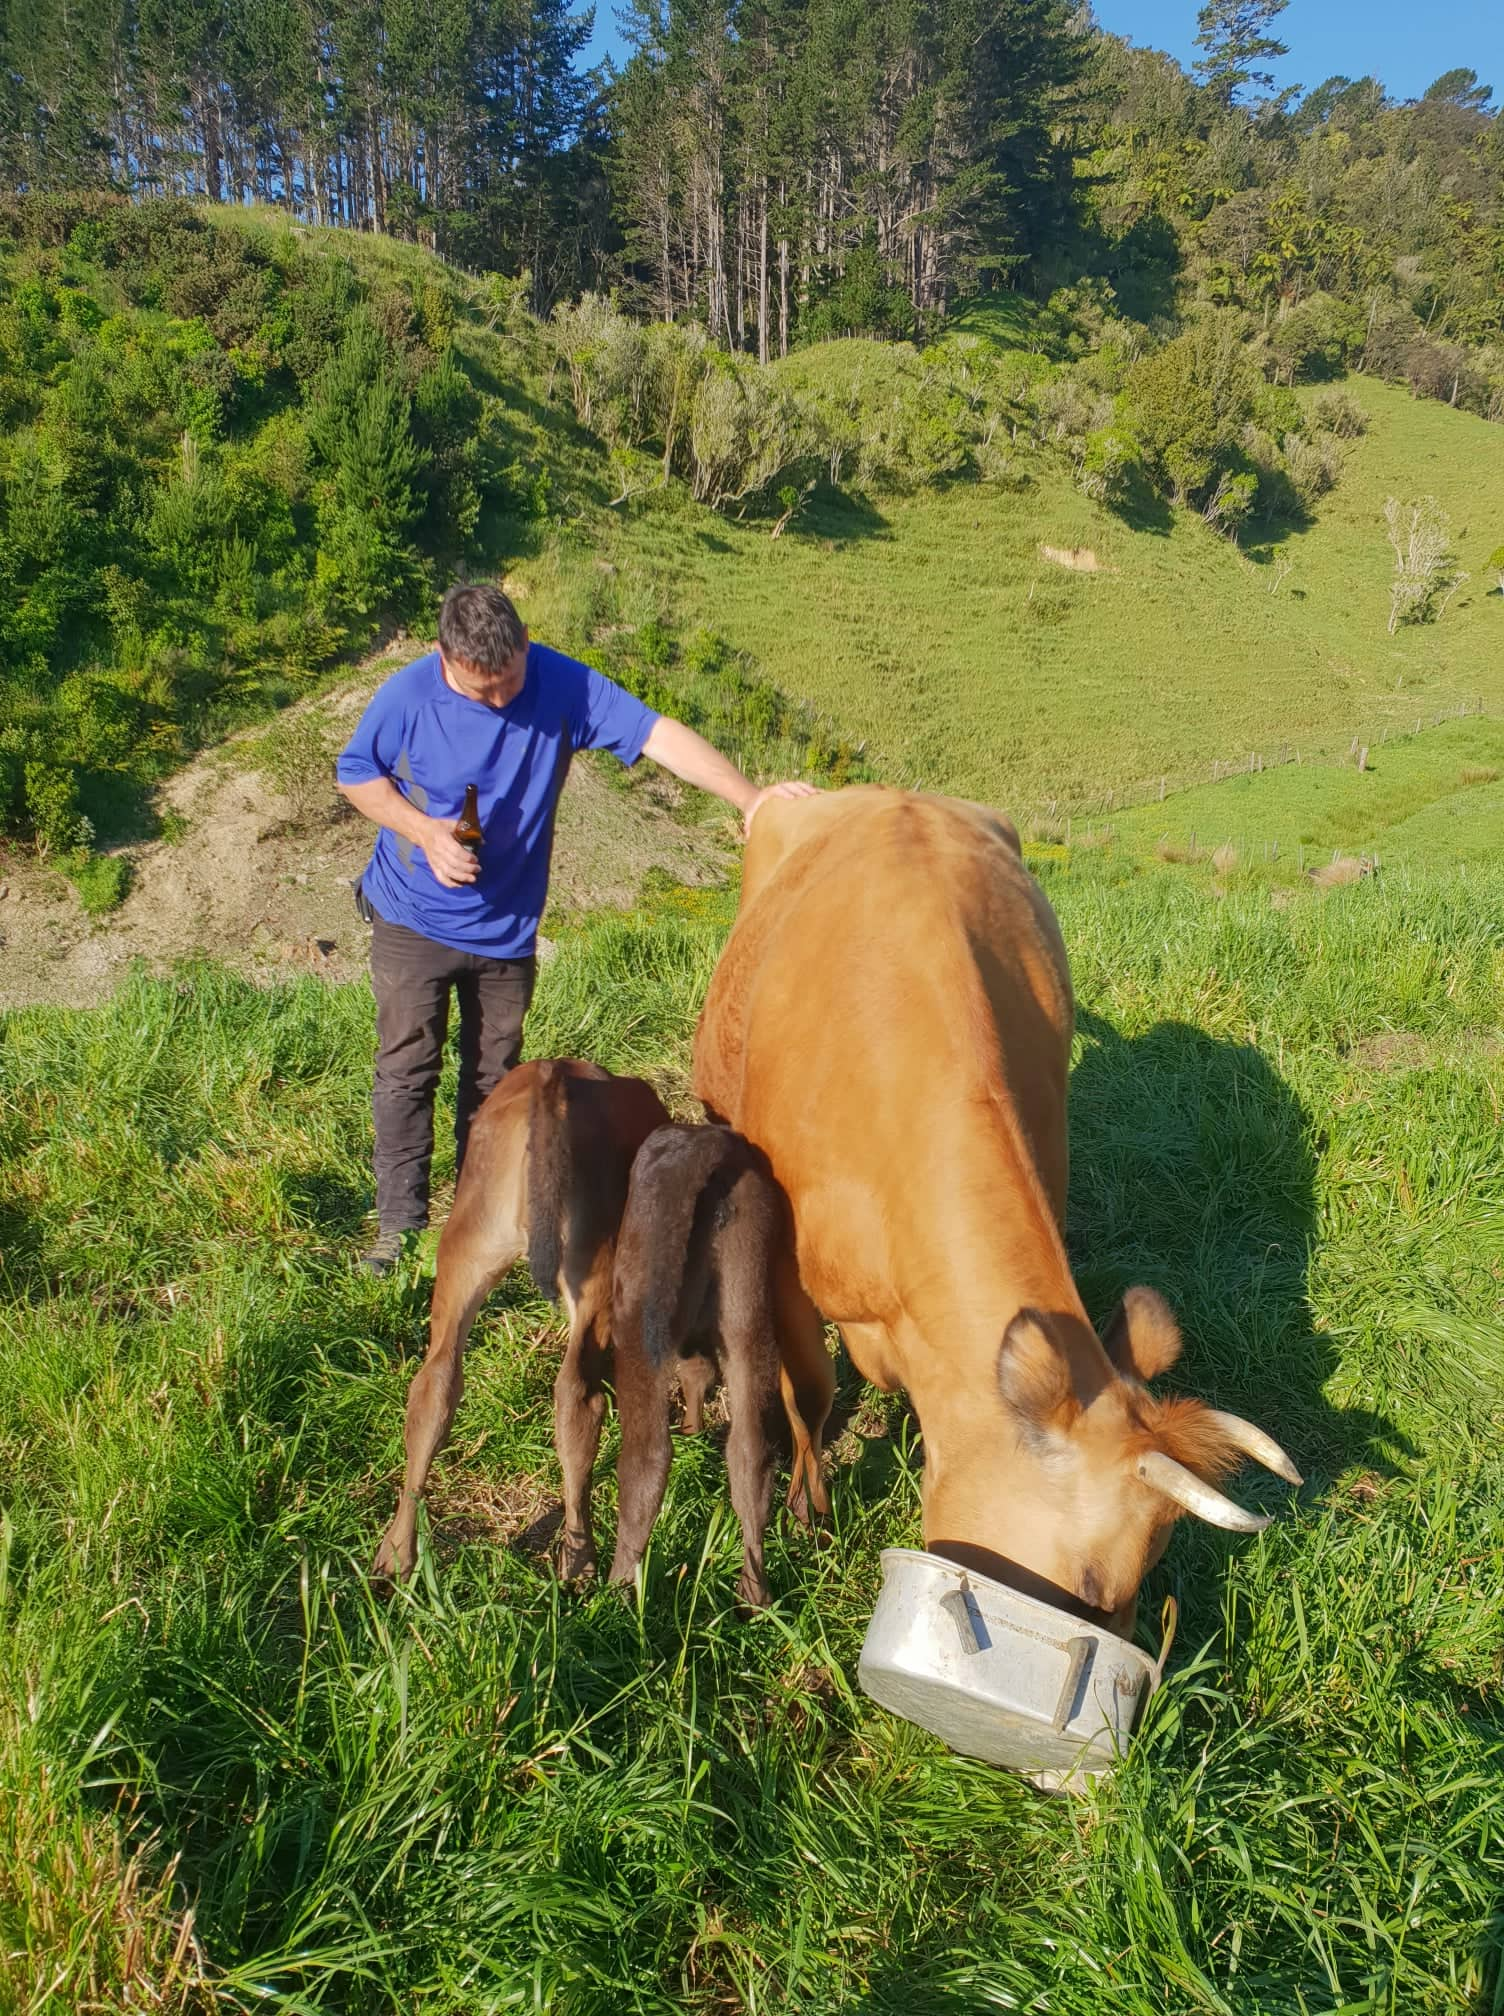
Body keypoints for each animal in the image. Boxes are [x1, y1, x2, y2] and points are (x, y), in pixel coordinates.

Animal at [372, 1056, 665, 1588]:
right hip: (596, 1268)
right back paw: (579, 1558)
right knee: (576, 1397)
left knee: (434, 1384)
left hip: (464, 1251)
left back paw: (398, 1552)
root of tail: (554, 1074)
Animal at [604, 1120, 786, 1604]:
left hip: (637, 1321)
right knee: (750, 1454)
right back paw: (753, 1597)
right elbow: (699, 1374)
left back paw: (612, 1595)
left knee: (645, 1458)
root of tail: (704, 1143)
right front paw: (694, 1431)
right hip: (748, 1305)